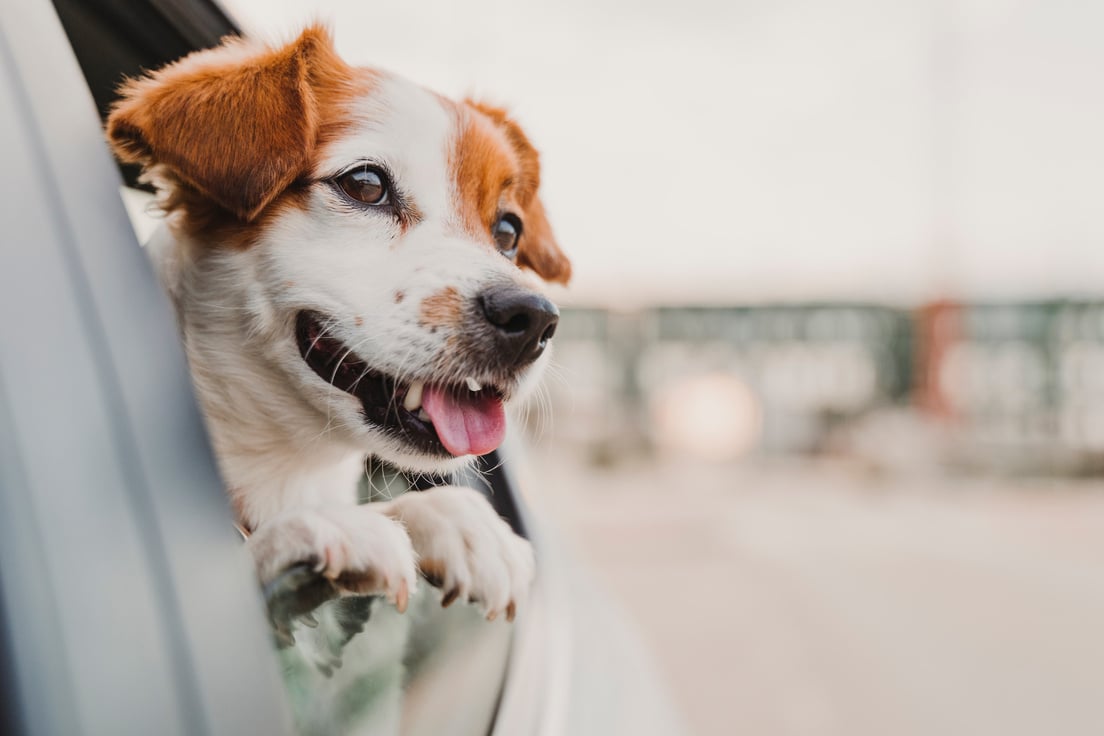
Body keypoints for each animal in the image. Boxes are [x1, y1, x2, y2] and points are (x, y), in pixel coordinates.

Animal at [105, 24, 569, 666]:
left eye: (508, 230)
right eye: (365, 185)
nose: (533, 318)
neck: (288, 465)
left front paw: (458, 519)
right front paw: (309, 532)